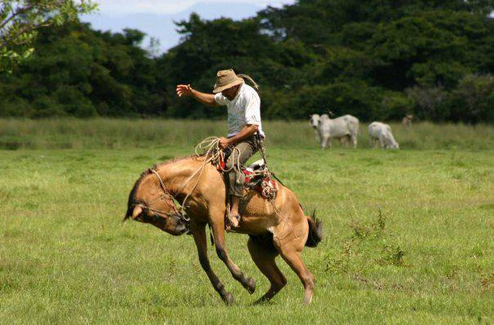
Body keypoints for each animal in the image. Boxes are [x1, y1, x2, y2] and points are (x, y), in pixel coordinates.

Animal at [123, 154, 324, 304]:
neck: (196, 178)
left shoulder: (216, 215)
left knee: (308, 277)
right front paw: (226, 295)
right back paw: (256, 303)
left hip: (287, 248)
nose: (180, 228)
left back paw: (304, 304)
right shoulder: (197, 223)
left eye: (154, 216)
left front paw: (246, 281)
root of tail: (302, 214)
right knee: (279, 281)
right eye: (149, 220)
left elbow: (220, 250)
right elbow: (204, 260)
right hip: (259, 251)